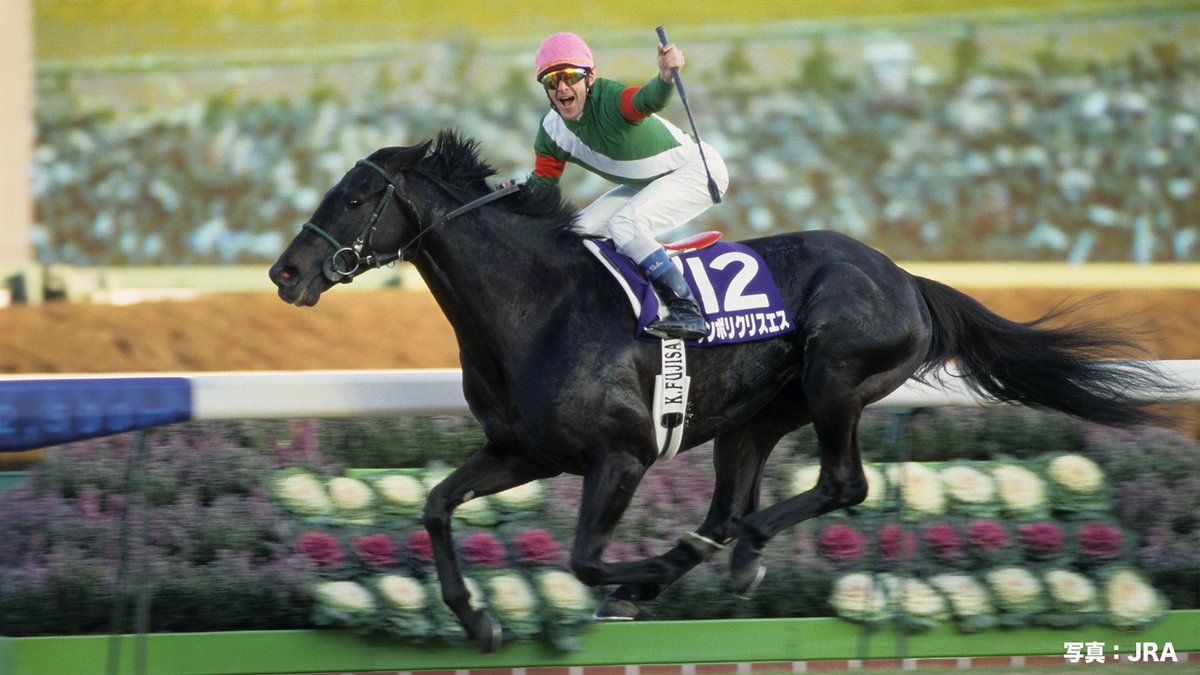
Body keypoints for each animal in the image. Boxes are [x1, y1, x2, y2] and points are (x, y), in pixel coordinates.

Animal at [269, 130, 1177, 652]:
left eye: (357, 195)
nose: (284, 272)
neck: (537, 305)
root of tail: (907, 279)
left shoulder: (622, 455)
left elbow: (584, 557)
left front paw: (626, 576)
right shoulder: (522, 450)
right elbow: (434, 504)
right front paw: (477, 615)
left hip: (834, 376)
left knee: (838, 484)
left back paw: (731, 556)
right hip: (754, 418)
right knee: (727, 507)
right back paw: (700, 558)